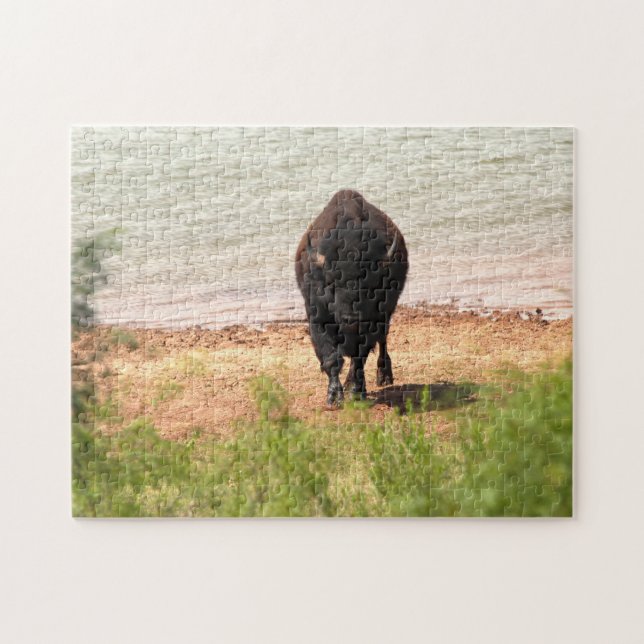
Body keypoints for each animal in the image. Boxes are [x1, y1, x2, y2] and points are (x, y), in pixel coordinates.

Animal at [295, 190, 409, 406]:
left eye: (368, 283)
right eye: (331, 283)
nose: (351, 319)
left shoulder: (372, 323)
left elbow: (359, 358)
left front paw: (356, 391)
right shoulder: (317, 319)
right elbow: (331, 359)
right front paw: (334, 396)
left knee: (382, 341)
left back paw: (383, 376)